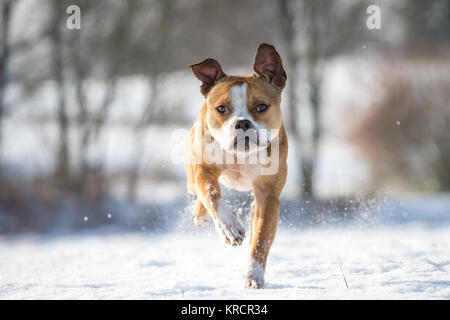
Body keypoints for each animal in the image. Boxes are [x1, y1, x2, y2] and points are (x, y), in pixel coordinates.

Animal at [185, 43, 288, 288]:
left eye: (262, 106)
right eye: (221, 108)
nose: (242, 123)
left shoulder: (267, 194)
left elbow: (261, 237)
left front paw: (253, 275)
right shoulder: (203, 169)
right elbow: (211, 194)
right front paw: (230, 227)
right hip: (191, 176)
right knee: (201, 192)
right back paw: (201, 215)